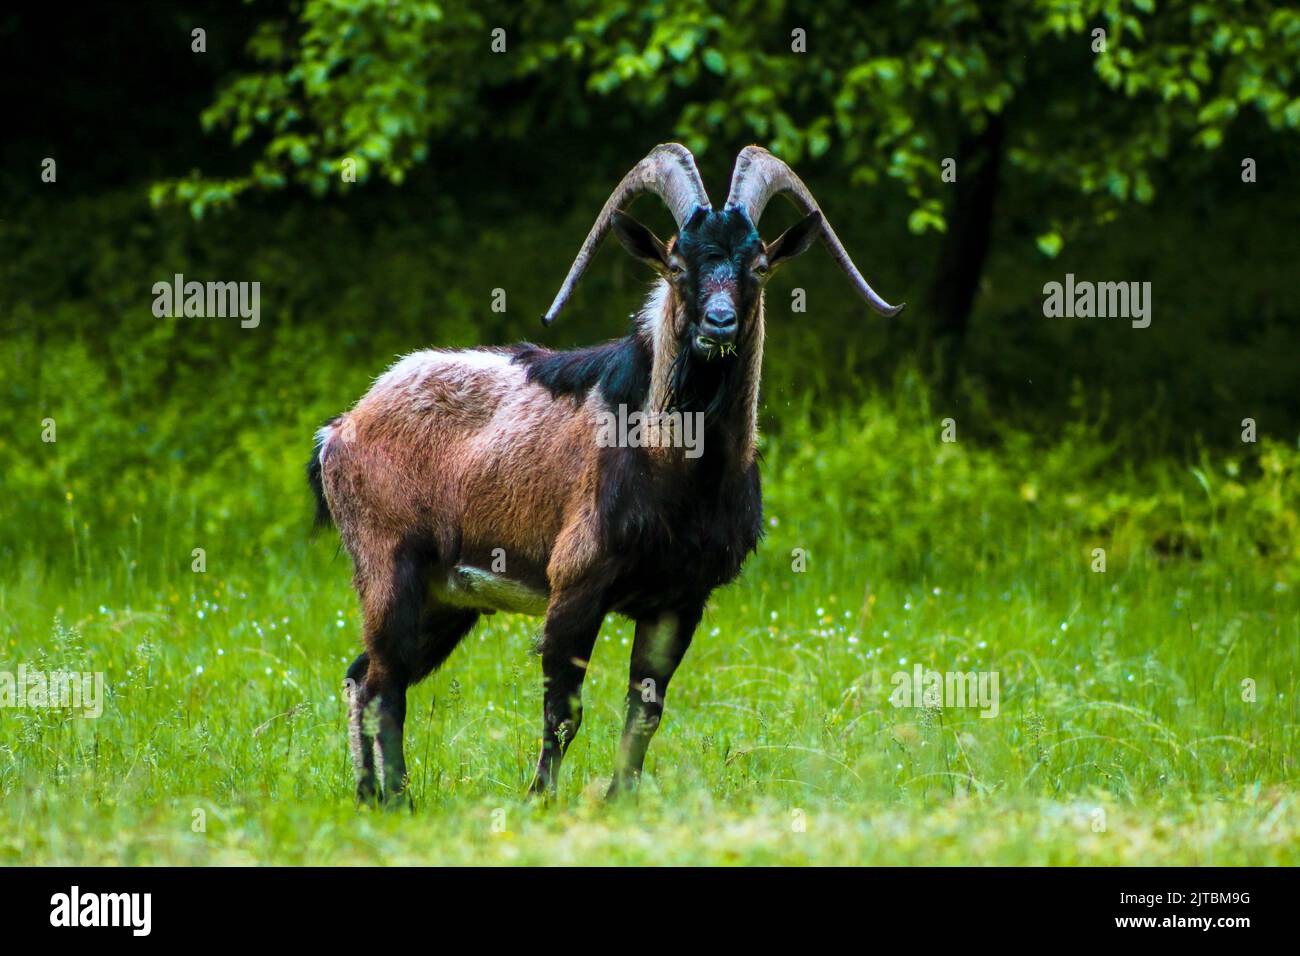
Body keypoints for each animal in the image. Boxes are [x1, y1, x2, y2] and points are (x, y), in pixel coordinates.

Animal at [309, 144, 903, 803]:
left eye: (758, 264)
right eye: (676, 263)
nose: (718, 323)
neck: (676, 470)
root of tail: (340, 429)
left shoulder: (679, 600)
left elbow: (645, 709)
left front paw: (623, 799)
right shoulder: (577, 581)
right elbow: (564, 711)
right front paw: (541, 799)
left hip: (445, 597)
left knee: (363, 676)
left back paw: (369, 795)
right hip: (389, 563)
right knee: (385, 685)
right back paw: (399, 800)